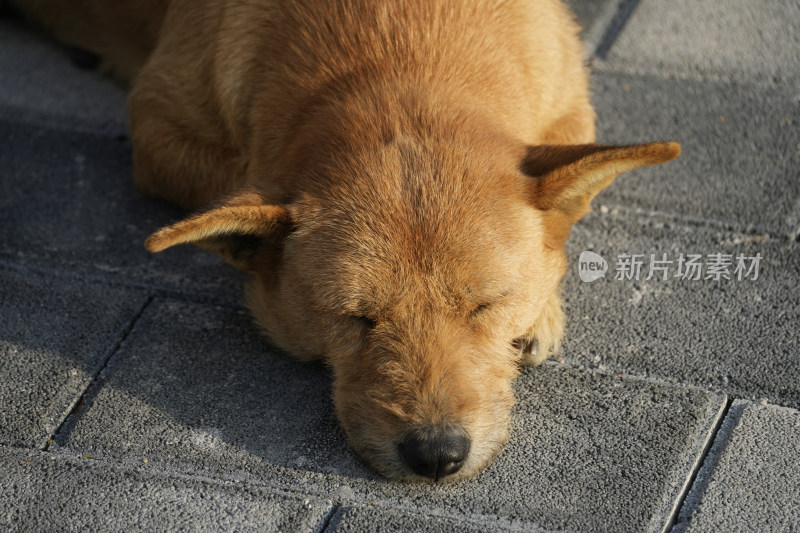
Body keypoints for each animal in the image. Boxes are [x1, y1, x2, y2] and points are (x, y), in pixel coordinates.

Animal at [17, 0, 680, 480]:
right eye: (357, 319)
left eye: (484, 306)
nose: (436, 456)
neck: (398, 49)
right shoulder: (157, 125)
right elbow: (240, 183)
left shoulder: (570, 100)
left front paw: (541, 305)